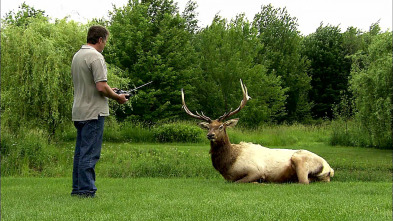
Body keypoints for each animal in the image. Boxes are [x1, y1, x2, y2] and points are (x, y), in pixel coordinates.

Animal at [181, 80, 334, 184]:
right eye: (208, 127)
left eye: (221, 127)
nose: (210, 135)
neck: (228, 164)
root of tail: (329, 169)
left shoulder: (256, 170)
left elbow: (240, 181)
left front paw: (260, 181)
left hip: (300, 159)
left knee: (303, 181)